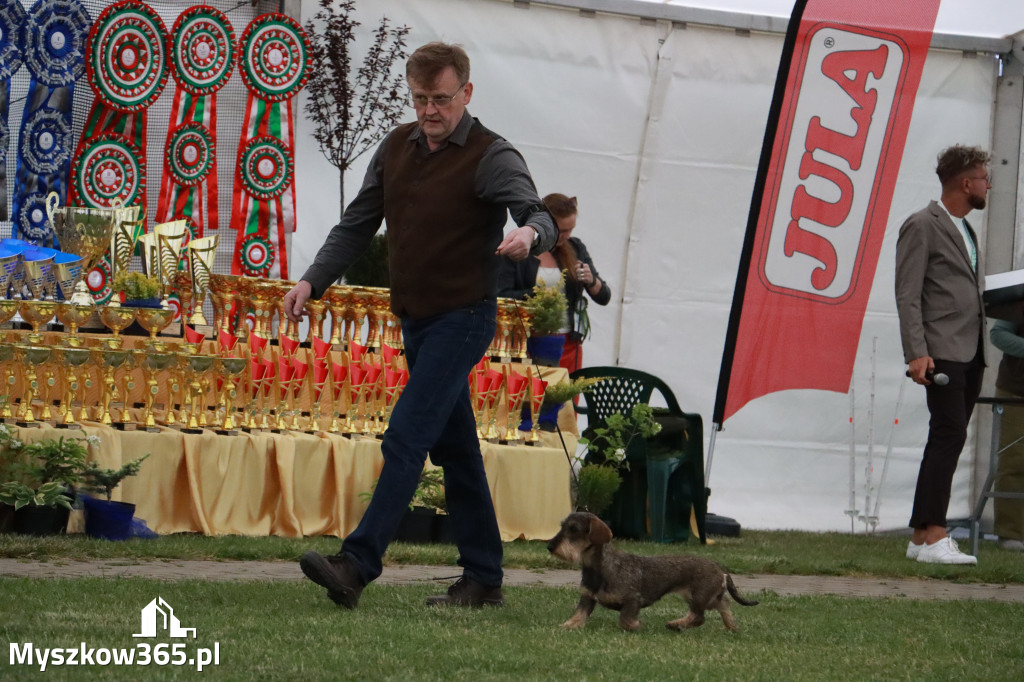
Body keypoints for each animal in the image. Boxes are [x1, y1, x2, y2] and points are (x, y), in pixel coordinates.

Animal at [548, 509, 757, 630]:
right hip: (705, 597)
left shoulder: (633, 600)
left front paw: (637, 625)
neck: (600, 568)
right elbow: (579, 614)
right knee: (723, 605)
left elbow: (625, 619)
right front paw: (567, 625)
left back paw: (677, 624)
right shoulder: (587, 598)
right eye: (563, 526)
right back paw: (731, 626)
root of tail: (719, 567)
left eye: (574, 529)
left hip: (699, 597)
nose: (550, 546)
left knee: (700, 617)